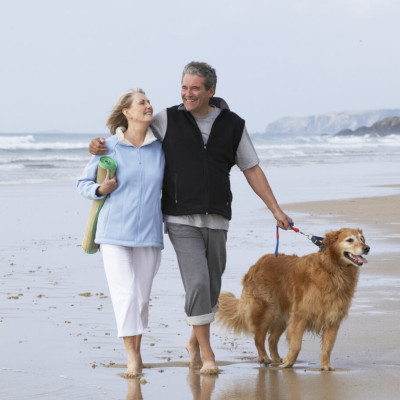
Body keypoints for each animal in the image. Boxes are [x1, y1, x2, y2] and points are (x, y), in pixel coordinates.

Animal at [217, 227, 370, 370]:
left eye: (362, 239)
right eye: (350, 240)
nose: (367, 248)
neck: (333, 270)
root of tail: (257, 263)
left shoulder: (332, 319)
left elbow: (327, 347)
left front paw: (325, 365)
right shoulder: (300, 315)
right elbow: (296, 344)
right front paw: (289, 361)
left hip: (282, 317)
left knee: (271, 339)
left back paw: (276, 359)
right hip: (267, 311)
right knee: (258, 337)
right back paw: (264, 357)